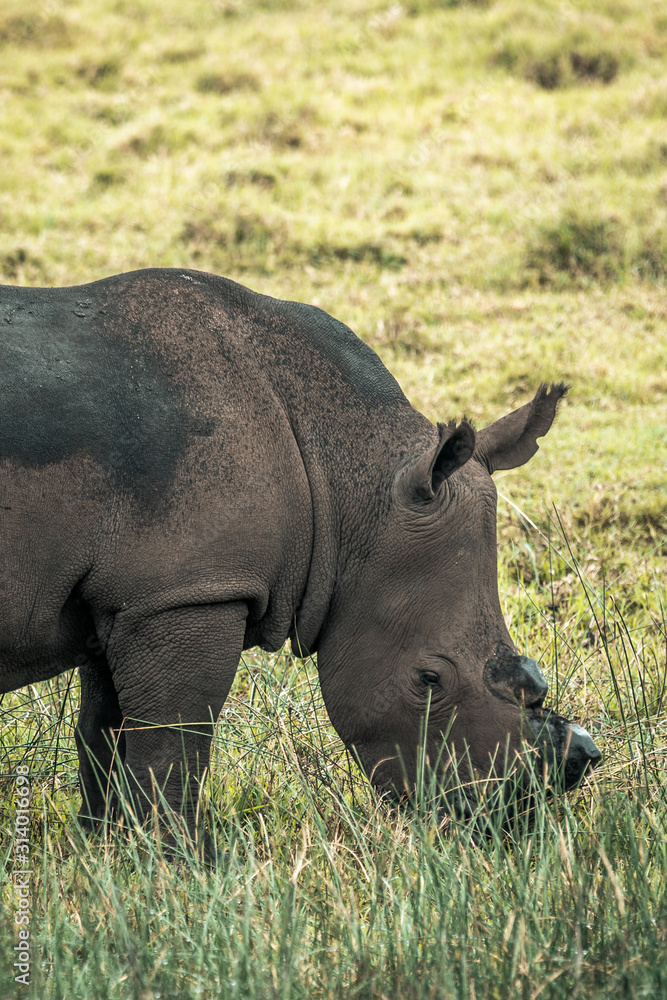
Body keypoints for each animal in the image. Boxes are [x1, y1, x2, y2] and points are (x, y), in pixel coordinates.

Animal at [0, 268, 600, 835]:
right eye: (429, 680)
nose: (508, 817)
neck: (347, 479)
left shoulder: (135, 595)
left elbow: (104, 736)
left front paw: (106, 849)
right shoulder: (189, 592)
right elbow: (174, 744)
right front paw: (180, 861)